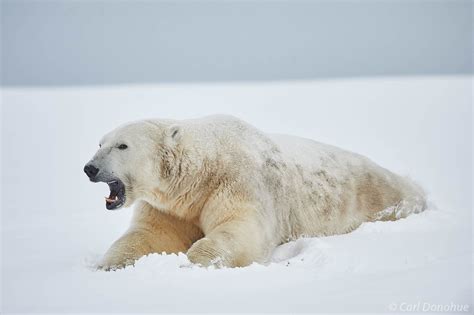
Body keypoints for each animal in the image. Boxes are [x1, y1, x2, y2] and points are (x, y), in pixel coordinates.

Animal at [83, 115, 428, 270]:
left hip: (380, 195)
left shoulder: (238, 182)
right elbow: (151, 234)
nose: (90, 168)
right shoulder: (171, 206)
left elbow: (240, 229)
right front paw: (109, 264)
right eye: (100, 142)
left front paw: (194, 262)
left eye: (122, 145)